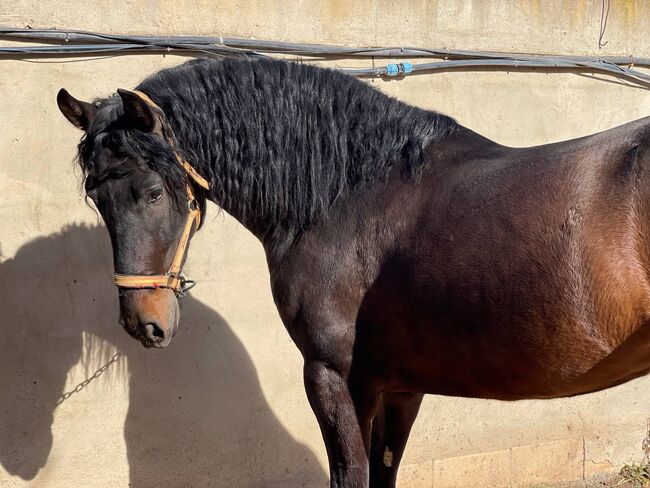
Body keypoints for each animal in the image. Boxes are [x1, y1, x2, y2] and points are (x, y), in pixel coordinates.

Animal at [57, 56, 650, 484]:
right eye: (97, 198)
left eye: (154, 192)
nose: (143, 322)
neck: (349, 194)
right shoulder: (400, 388)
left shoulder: (335, 378)